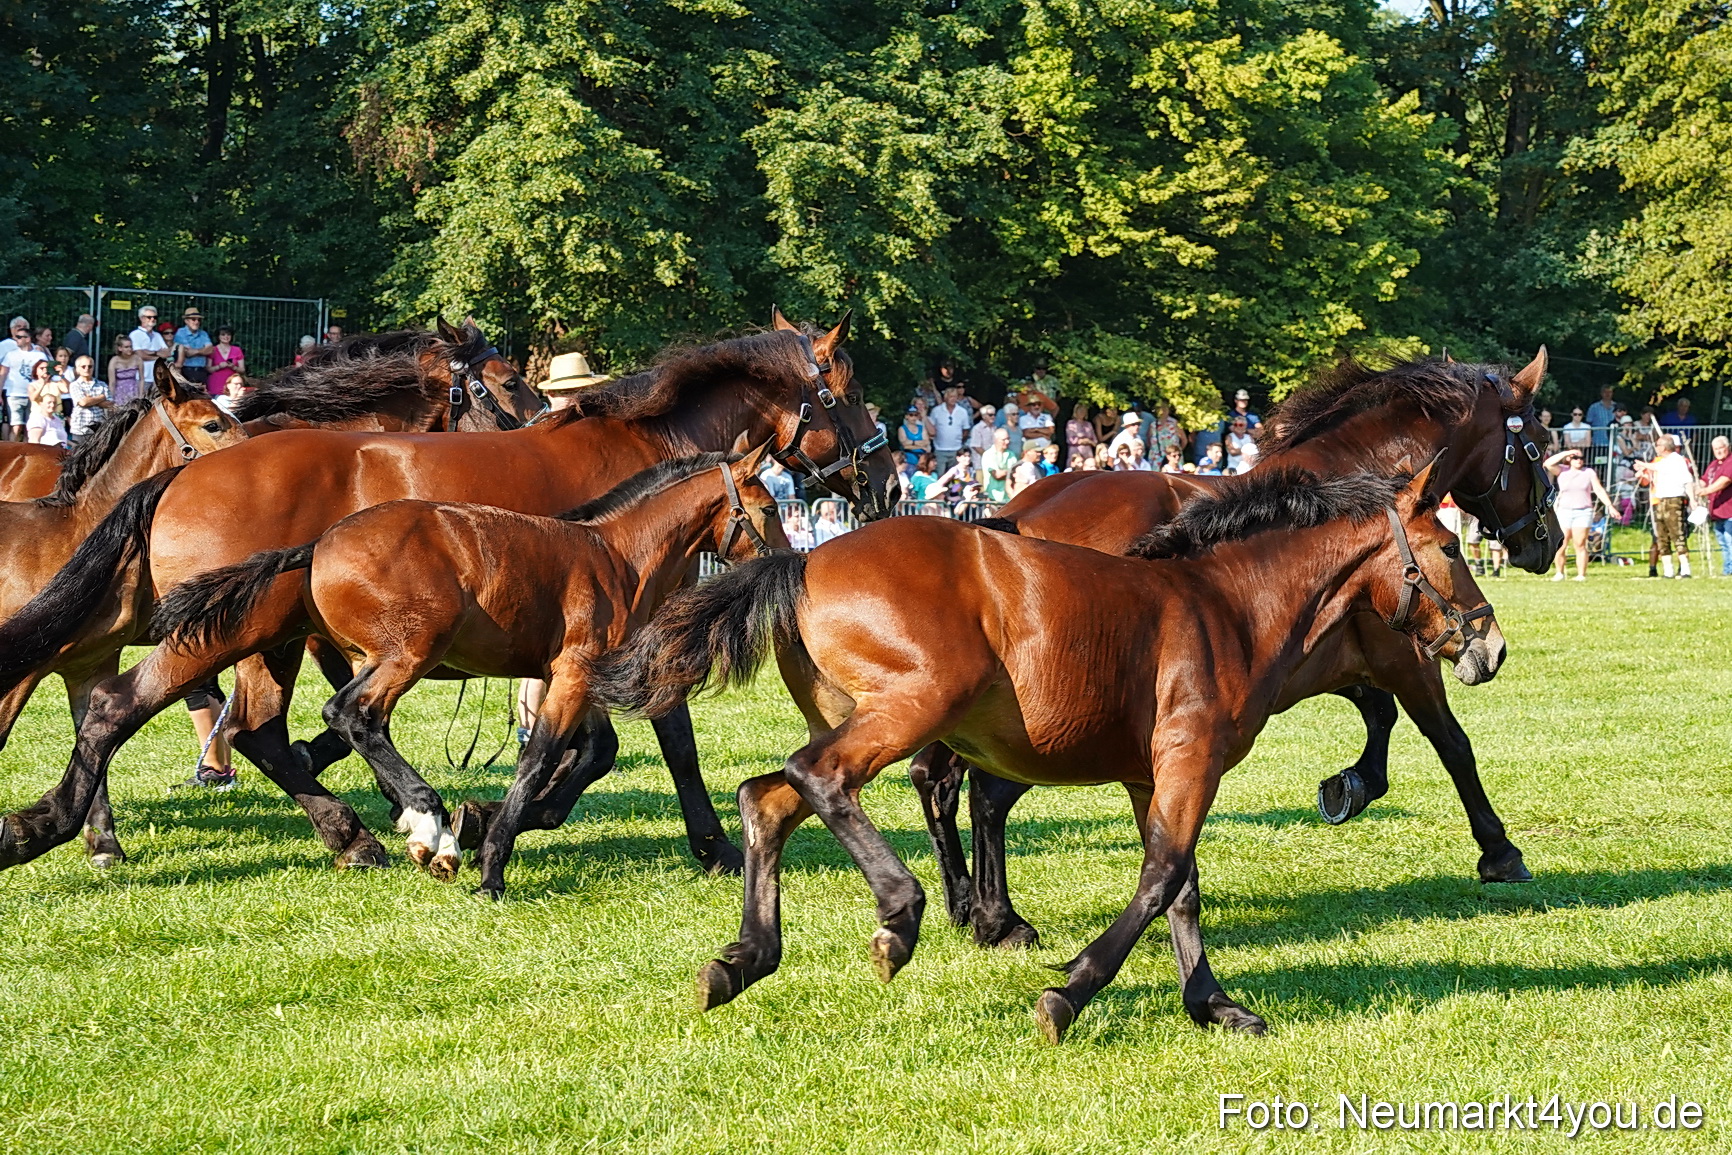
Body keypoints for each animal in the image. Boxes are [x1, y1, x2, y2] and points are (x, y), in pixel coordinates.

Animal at [148, 447, 788, 890]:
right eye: (769, 507)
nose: (789, 560)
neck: (617, 555)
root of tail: (320, 543)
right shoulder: (574, 674)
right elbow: (539, 759)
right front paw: (491, 863)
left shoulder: (578, 679)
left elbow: (591, 755)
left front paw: (494, 823)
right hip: (410, 652)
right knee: (352, 714)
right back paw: (428, 823)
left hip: (366, 656)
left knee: (335, 726)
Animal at [592, 461, 1501, 1042]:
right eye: (1453, 547)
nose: (1489, 645)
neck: (1225, 607)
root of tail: (806, 557)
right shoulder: (1191, 760)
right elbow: (1164, 875)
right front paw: (1071, 991)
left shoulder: (1150, 773)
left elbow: (1182, 887)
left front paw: (1213, 1004)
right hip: (914, 707)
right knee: (822, 779)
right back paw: (900, 915)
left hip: (854, 715)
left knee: (767, 797)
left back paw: (743, 960)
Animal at [907, 353, 1557, 946]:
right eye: (1540, 445)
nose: (1542, 543)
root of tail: (1010, 519)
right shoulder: (1407, 659)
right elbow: (1451, 742)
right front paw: (1499, 850)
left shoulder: (1325, 665)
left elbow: (1380, 717)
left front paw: (1349, 786)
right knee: (983, 792)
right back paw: (999, 918)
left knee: (936, 781)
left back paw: (967, 905)